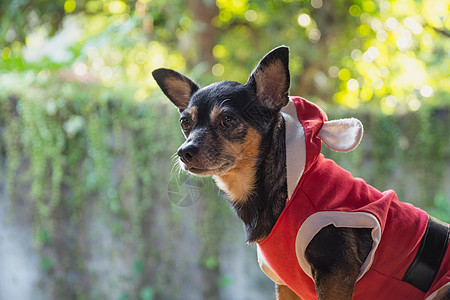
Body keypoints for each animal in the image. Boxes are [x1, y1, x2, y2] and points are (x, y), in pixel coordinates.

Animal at [152, 46, 450, 300]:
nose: (184, 152)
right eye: (185, 123)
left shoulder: (336, 276)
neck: (287, 188)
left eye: (227, 120)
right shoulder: (286, 285)